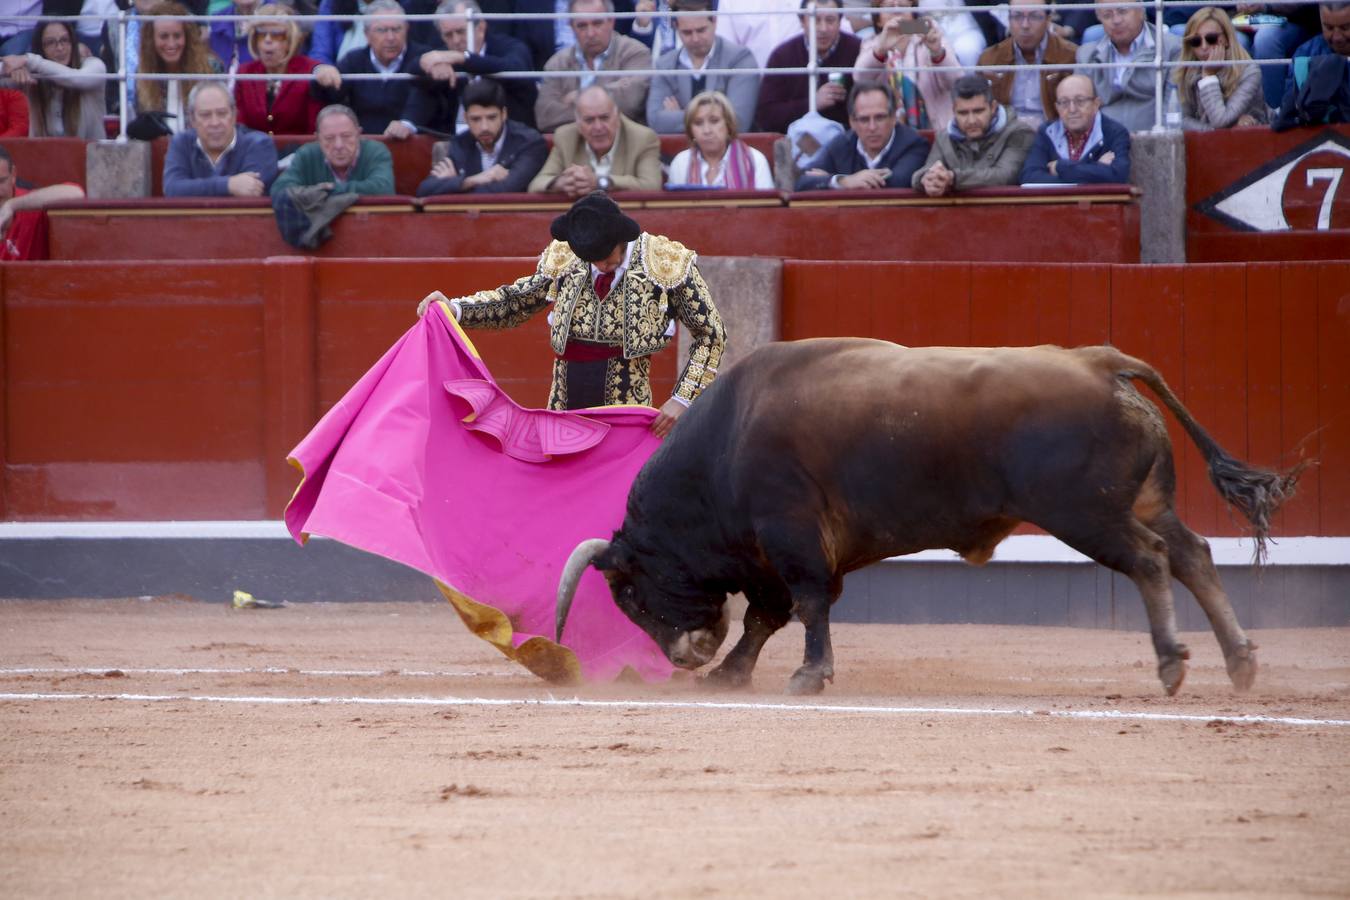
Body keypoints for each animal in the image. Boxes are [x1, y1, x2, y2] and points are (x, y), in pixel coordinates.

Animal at [553, 340, 1301, 696]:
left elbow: (806, 605)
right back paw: (1239, 661)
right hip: (1144, 501)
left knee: (1149, 560)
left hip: (1087, 513)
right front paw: (733, 673)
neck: (725, 444)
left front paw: (808, 676)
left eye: (629, 594)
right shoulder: (775, 552)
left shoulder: (790, 535)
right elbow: (770, 616)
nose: (685, 656)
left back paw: (1173, 662)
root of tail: (1101, 362)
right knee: (1194, 554)